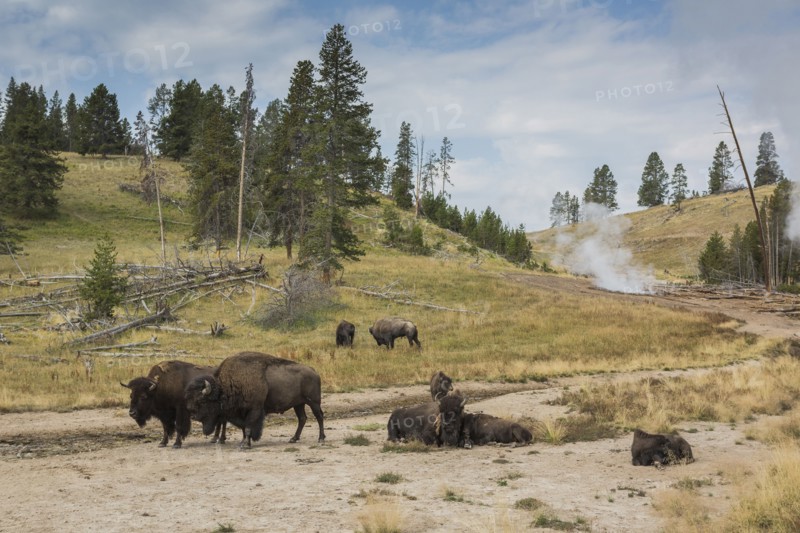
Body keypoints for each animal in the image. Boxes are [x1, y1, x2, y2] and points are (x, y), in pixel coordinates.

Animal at [185, 351, 325, 449]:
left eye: (202, 401)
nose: (193, 415)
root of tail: (314, 372)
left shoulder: (254, 410)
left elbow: (248, 427)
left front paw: (245, 445)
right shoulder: (241, 413)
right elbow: (243, 428)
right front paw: (243, 442)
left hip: (313, 402)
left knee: (319, 416)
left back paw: (321, 439)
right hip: (298, 404)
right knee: (302, 418)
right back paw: (293, 438)